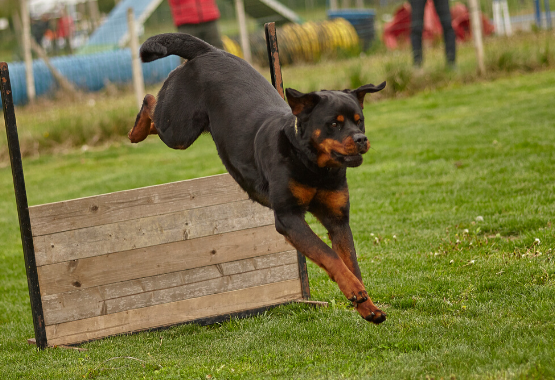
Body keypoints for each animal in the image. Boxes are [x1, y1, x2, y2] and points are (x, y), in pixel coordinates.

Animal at [127, 33, 386, 324]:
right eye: (334, 123)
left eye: (359, 121)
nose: (361, 139)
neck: (313, 166)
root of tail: (209, 50)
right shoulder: (288, 217)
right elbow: (329, 255)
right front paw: (355, 291)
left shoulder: (337, 219)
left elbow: (350, 262)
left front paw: (368, 307)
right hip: (180, 129)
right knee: (150, 101)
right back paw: (135, 132)